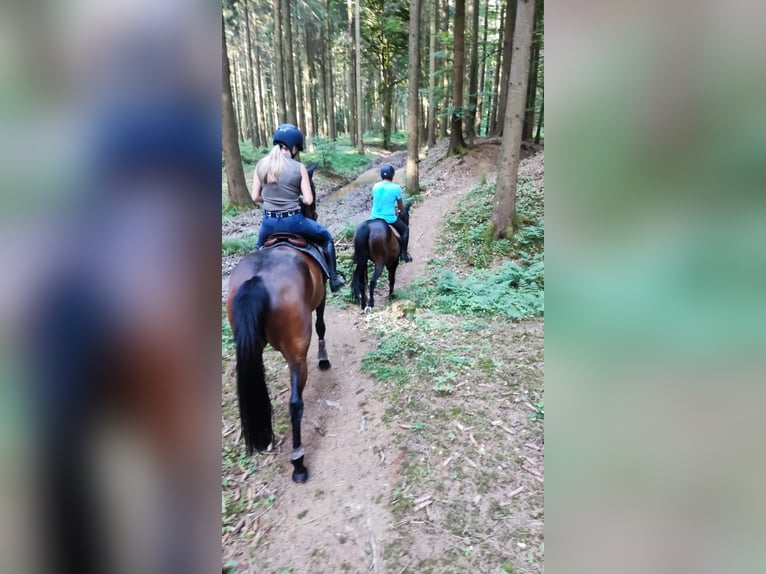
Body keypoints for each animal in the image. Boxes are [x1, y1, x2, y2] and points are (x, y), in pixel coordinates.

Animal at [224, 164, 328, 484]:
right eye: (312, 190)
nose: (313, 212)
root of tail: (257, 278)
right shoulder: (321, 300)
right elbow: (322, 327)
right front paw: (324, 359)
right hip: (296, 352)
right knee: (295, 403)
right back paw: (298, 462)